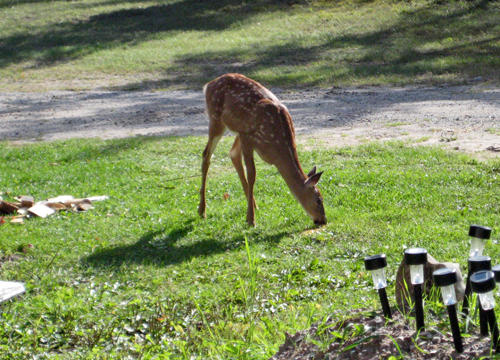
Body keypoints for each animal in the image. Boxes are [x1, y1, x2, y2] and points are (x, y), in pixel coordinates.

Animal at [197, 73, 326, 226]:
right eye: (318, 200)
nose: (323, 220)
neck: (276, 151)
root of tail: (208, 85)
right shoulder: (248, 140)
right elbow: (252, 174)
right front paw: (251, 220)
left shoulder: (246, 136)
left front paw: (250, 214)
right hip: (216, 120)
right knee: (206, 155)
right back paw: (202, 210)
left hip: (239, 130)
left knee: (233, 154)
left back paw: (253, 204)